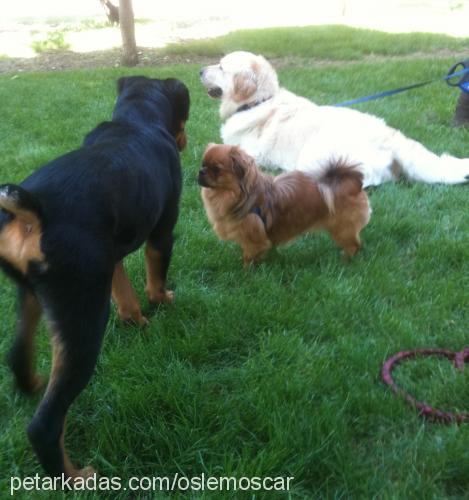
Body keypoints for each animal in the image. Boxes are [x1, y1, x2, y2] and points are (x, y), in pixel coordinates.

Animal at [0, 76, 190, 478]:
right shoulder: (162, 232)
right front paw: (162, 301)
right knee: (45, 425)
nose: (184, 140)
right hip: (83, 316)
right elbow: (154, 277)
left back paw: (34, 383)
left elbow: (125, 294)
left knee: (16, 356)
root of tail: (32, 209)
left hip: (36, 295)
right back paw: (75, 478)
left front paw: (136, 321)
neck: (135, 119)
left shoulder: (109, 258)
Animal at [197, 144, 370, 266]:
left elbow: (249, 258)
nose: (201, 171)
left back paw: (345, 260)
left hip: (343, 229)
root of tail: (351, 184)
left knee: (354, 245)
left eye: (216, 169)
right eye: (203, 164)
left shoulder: (255, 241)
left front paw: (246, 273)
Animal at [199, 51, 468, 188]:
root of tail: (389, 136)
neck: (259, 101)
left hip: (314, 151)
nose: (199, 71)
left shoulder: (248, 152)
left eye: (221, 67)